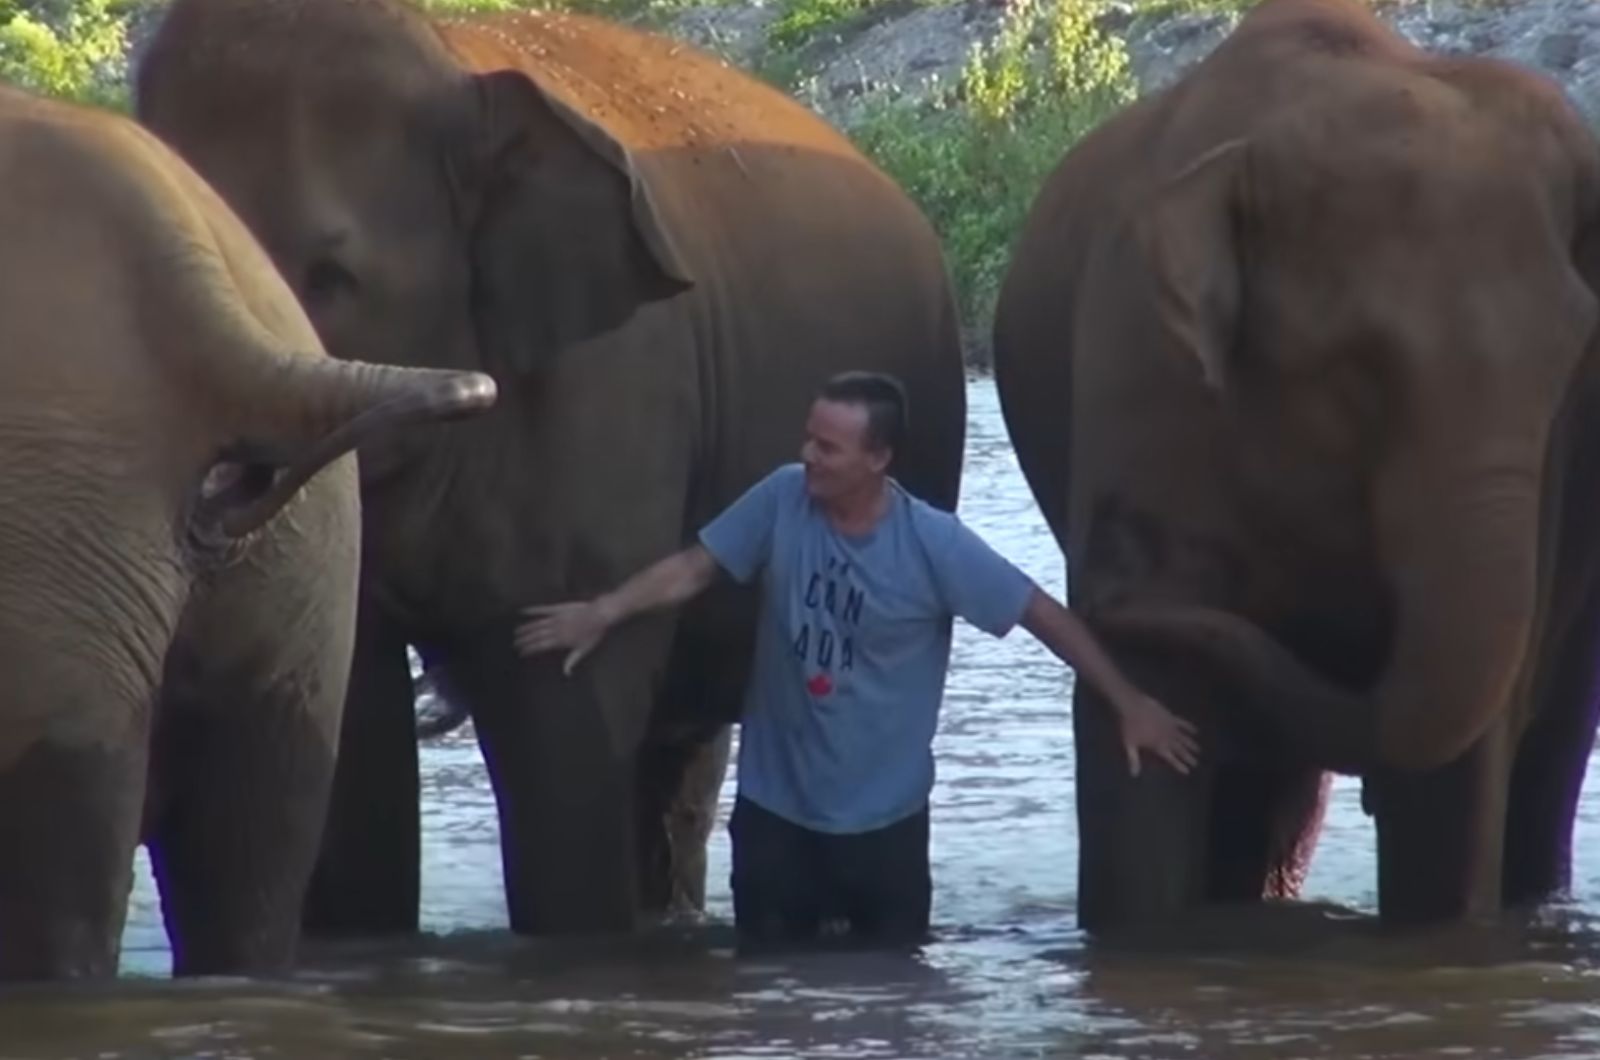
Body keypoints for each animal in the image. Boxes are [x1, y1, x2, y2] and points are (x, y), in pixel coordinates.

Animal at [992, 0, 1600, 935]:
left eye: (1570, 367)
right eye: (1359, 367)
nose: (1112, 591)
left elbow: (1461, 768)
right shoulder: (1143, 371)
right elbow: (1145, 711)